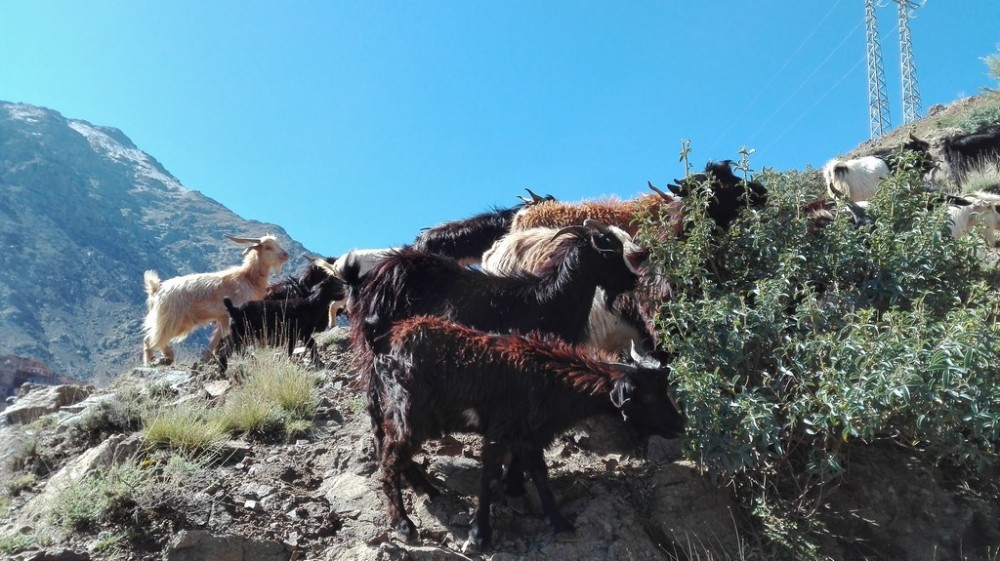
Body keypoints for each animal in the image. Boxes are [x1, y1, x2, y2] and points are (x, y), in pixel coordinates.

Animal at [141, 234, 290, 366]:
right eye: (267, 247)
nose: (285, 255)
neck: (247, 278)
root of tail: (156, 289)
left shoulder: (223, 318)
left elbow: (216, 340)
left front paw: (206, 358)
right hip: (171, 319)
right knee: (151, 339)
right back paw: (156, 359)